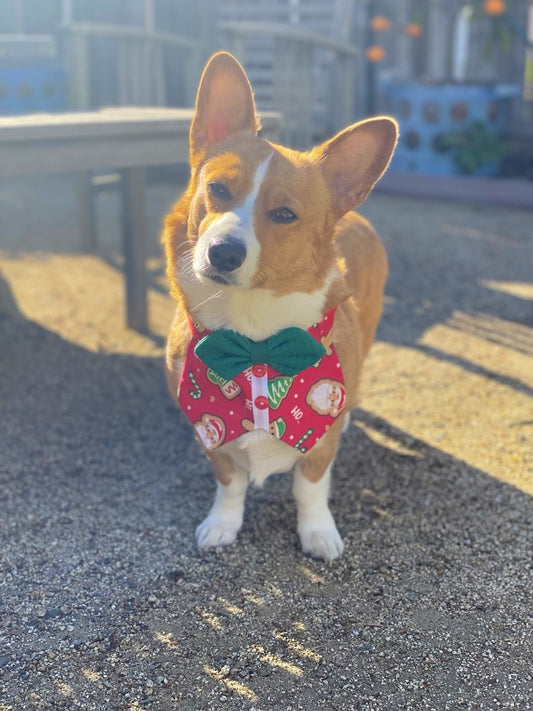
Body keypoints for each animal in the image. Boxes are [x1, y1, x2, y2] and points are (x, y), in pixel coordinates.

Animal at [161, 51, 394, 560]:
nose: (223, 253)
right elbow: (230, 484)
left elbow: (309, 487)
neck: (254, 342)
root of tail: (357, 215)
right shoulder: (211, 436)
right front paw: (222, 525)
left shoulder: (317, 449)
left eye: (285, 214)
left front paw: (317, 533)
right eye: (218, 189)